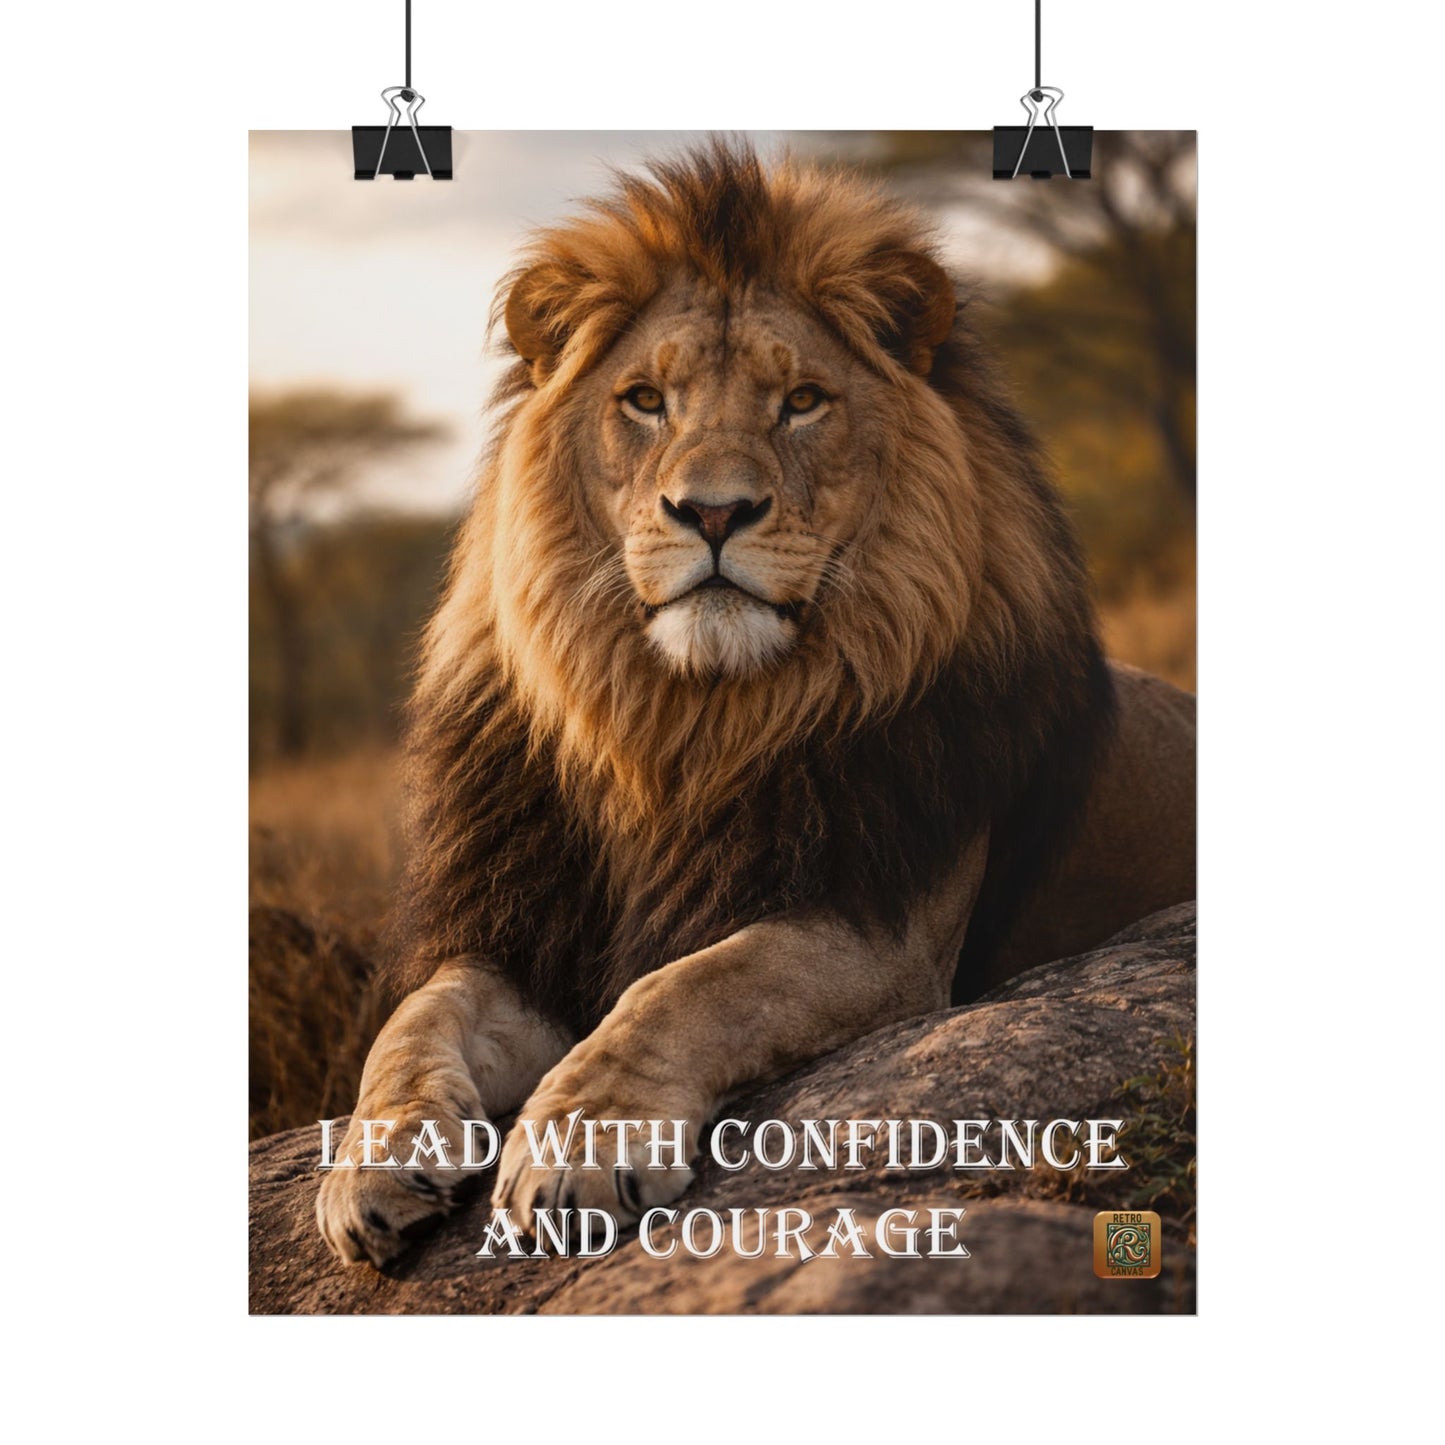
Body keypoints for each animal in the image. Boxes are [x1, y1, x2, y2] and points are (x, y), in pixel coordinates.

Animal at [316, 140, 1195, 1267]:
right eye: (646, 400)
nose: (712, 511)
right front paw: (370, 1162)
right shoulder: (530, 933)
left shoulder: (879, 928)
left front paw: (578, 1146)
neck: (685, 726)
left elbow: (689, 984)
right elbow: (415, 1017)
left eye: (803, 401)